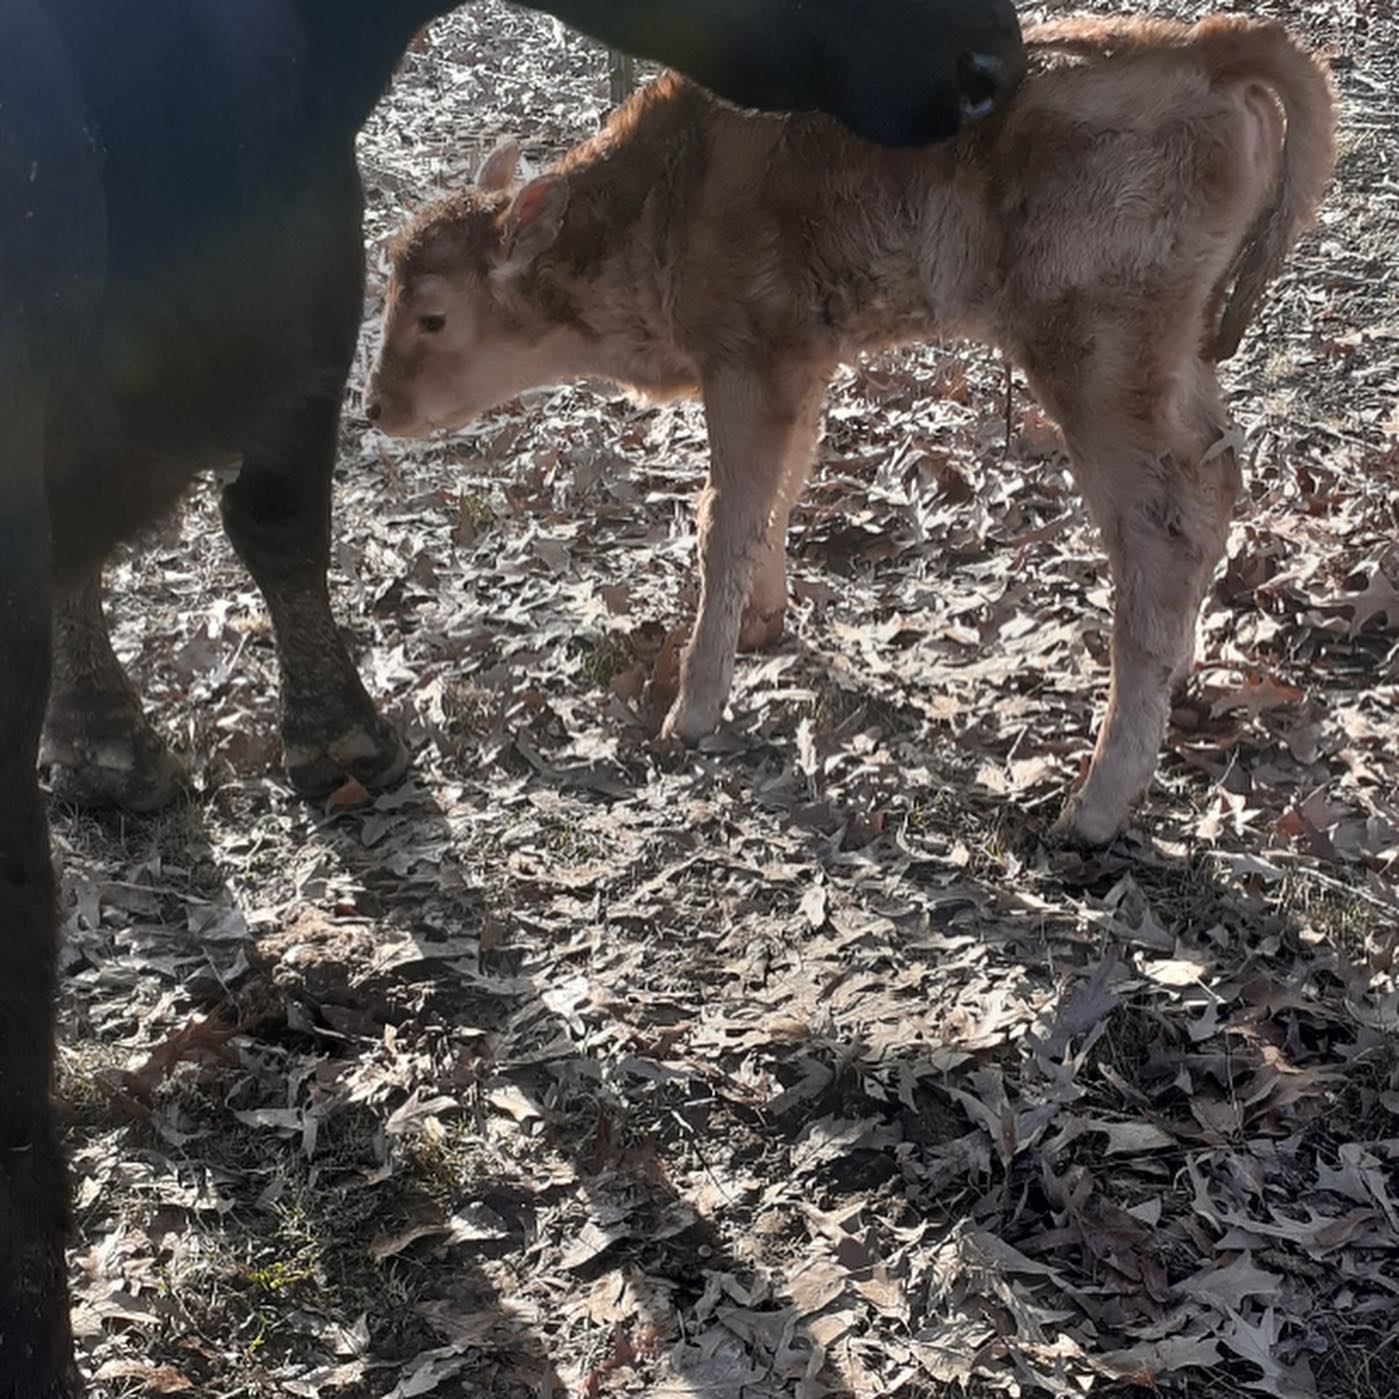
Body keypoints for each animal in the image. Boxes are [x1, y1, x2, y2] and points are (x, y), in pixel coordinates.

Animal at [367, 15, 1336, 846]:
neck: (664, 196)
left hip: (1095, 360)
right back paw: (1178, 675)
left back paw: (1092, 805)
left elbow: (723, 513)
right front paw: (762, 623)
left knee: (1158, 529)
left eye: (432, 316)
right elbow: (774, 491)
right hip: (1175, 354)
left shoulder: (748, 363)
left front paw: (694, 708)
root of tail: (1204, 47)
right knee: (1215, 476)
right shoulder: (800, 365)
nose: (377, 408)